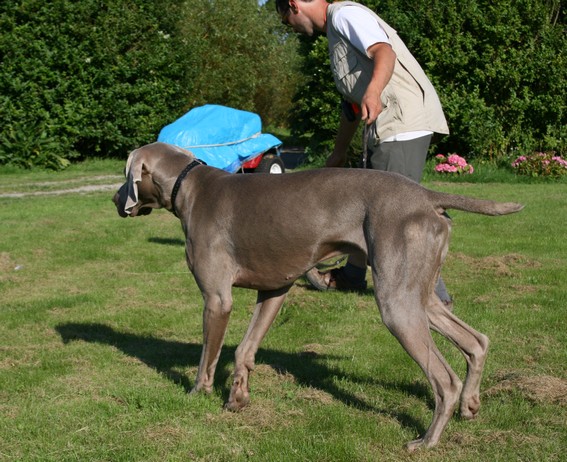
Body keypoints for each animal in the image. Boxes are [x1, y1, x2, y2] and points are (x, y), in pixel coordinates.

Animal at [112, 142, 524, 452]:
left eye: (125, 176)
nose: (115, 199)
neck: (190, 185)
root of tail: (427, 195)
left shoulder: (217, 299)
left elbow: (207, 358)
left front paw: (198, 394)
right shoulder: (275, 289)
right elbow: (245, 349)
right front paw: (238, 399)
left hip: (397, 303)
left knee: (444, 379)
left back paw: (426, 441)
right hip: (419, 295)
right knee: (477, 341)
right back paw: (471, 405)